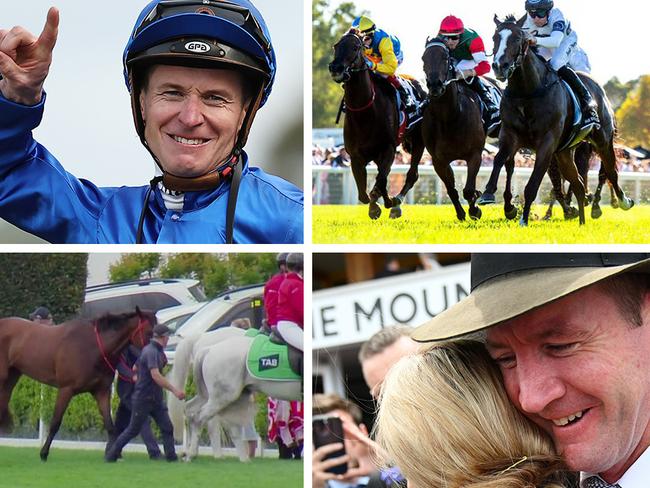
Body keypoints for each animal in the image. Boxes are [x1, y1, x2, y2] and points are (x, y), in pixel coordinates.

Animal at [0, 308, 154, 462]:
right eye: (149, 332)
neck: (92, 346)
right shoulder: (66, 389)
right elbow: (55, 423)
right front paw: (44, 453)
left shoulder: (101, 391)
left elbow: (110, 425)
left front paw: (112, 454)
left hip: (11, 377)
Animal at [173, 332, 302, 462]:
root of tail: (209, 349)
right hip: (223, 397)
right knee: (200, 418)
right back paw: (192, 454)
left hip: (218, 396)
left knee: (191, 410)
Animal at [326, 30, 422, 219]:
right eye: (336, 46)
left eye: (356, 47)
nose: (336, 68)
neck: (365, 113)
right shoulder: (355, 156)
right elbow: (364, 193)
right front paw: (376, 204)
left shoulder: (388, 149)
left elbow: (380, 181)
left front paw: (385, 202)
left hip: (419, 141)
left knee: (412, 174)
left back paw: (396, 203)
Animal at [488, 14, 632, 226]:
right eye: (495, 38)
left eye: (517, 38)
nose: (500, 66)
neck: (527, 91)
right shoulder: (510, 134)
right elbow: (499, 159)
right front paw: (492, 196)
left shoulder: (546, 143)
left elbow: (533, 183)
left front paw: (524, 219)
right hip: (565, 152)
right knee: (578, 184)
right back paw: (581, 222)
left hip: (602, 141)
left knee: (610, 172)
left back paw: (621, 202)